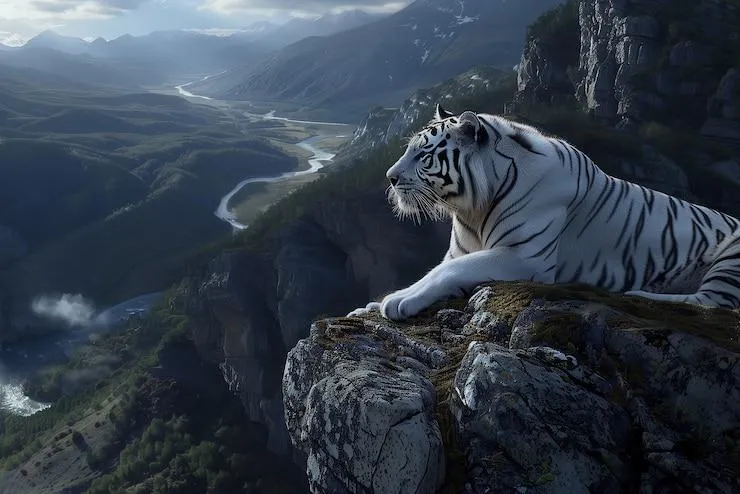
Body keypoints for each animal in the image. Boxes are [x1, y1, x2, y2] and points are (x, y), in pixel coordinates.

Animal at [348, 104, 740, 321]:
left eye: (423, 154)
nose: (390, 177)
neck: (472, 208)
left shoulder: (524, 257)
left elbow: (446, 272)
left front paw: (401, 301)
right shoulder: (462, 250)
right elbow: (437, 270)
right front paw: (370, 306)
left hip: (731, 256)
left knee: (712, 304)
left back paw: (640, 294)